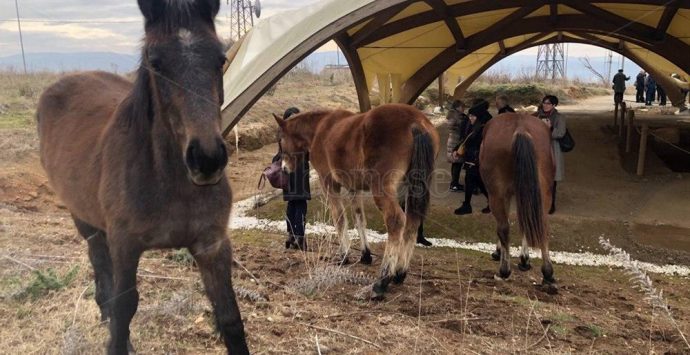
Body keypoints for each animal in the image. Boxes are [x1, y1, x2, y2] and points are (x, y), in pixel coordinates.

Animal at [35, 1, 249, 354]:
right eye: (155, 62)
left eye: (220, 58)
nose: (207, 159)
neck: (170, 183)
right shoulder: (126, 244)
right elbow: (124, 309)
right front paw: (116, 336)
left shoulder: (212, 244)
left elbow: (230, 317)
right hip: (83, 218)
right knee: (99, 263)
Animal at [272, 103, 438, 300]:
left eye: (280, 140)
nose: (284, 168)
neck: (320, 128)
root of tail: (416, 122)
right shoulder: (354, 188)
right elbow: (359, 219)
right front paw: (365, 255)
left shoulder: (329, 183)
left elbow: (340, 218)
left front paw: (344, 256)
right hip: (412, 188)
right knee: (412, 222)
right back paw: (400, 273)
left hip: (383, 189)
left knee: (396, 221)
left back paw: (382, 281)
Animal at [482, 113, 556, 292]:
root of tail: (521, 128)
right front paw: (524, 258)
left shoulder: (505, 194)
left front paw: (500, 252)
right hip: (542, 191)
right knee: (541, 225)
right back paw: (548, 273)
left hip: (496, 193)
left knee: (503, 228)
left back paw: (504, 270)